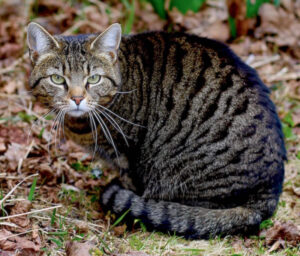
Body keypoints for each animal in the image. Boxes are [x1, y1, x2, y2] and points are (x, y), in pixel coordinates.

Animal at [26, 22, 286, 240]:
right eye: (57, 79)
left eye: (94, 78)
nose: (78, 98)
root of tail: (269, 194)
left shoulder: (126, 155)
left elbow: (130, 182)